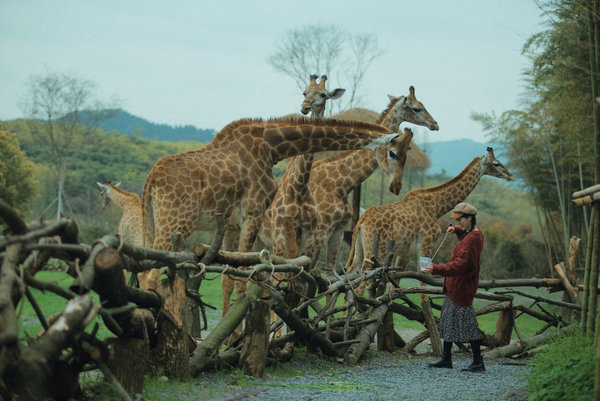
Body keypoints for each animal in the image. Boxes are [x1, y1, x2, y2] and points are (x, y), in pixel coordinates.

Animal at [141, 117, 400, 290]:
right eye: (393, 152)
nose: (396, 186)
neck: (271, 146)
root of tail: (150, 180)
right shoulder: (253, 210)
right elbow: (243, 274)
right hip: (177, 221)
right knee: (151, 275)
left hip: (156, 221)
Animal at [346, 147, 516, 290]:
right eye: (496, 163)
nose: (511, 176)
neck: (437, 206)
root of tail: (362, 220)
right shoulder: (425, 245)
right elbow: (423, 285)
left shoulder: (405, 253)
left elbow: (396, 286)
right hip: (376, 250)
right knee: (361, 283)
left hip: (360, 249)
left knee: (351, 277)